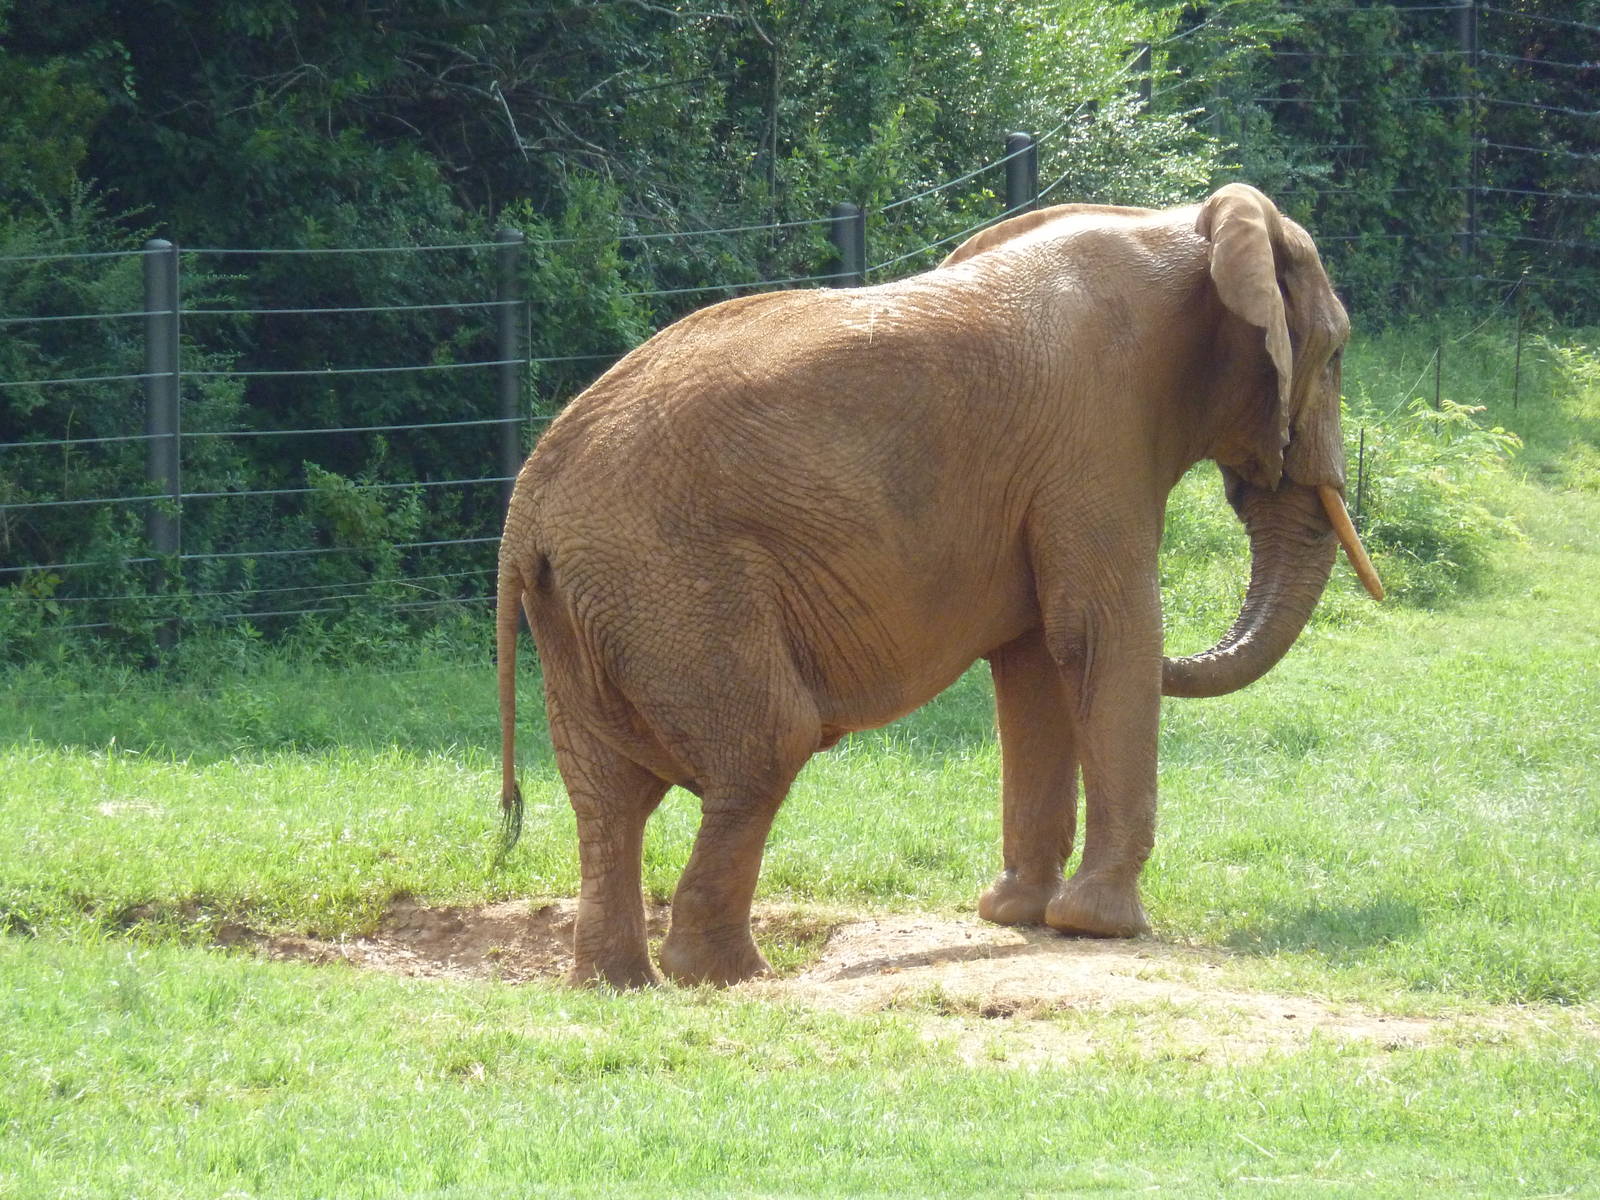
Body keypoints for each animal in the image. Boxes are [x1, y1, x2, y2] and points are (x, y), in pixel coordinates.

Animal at [494, 183, 1383, 989]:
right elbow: (1102, 632)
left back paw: (618, 983)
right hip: (674, 582)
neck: (1184, 223)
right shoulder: (1097, 434)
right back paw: (725, 974)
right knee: (765, 746)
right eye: (1337, 354)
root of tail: (524, 508)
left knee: (608, 796)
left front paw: (1020, 915)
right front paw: (1101, 927)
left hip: (590, 600)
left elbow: (1036, 657)